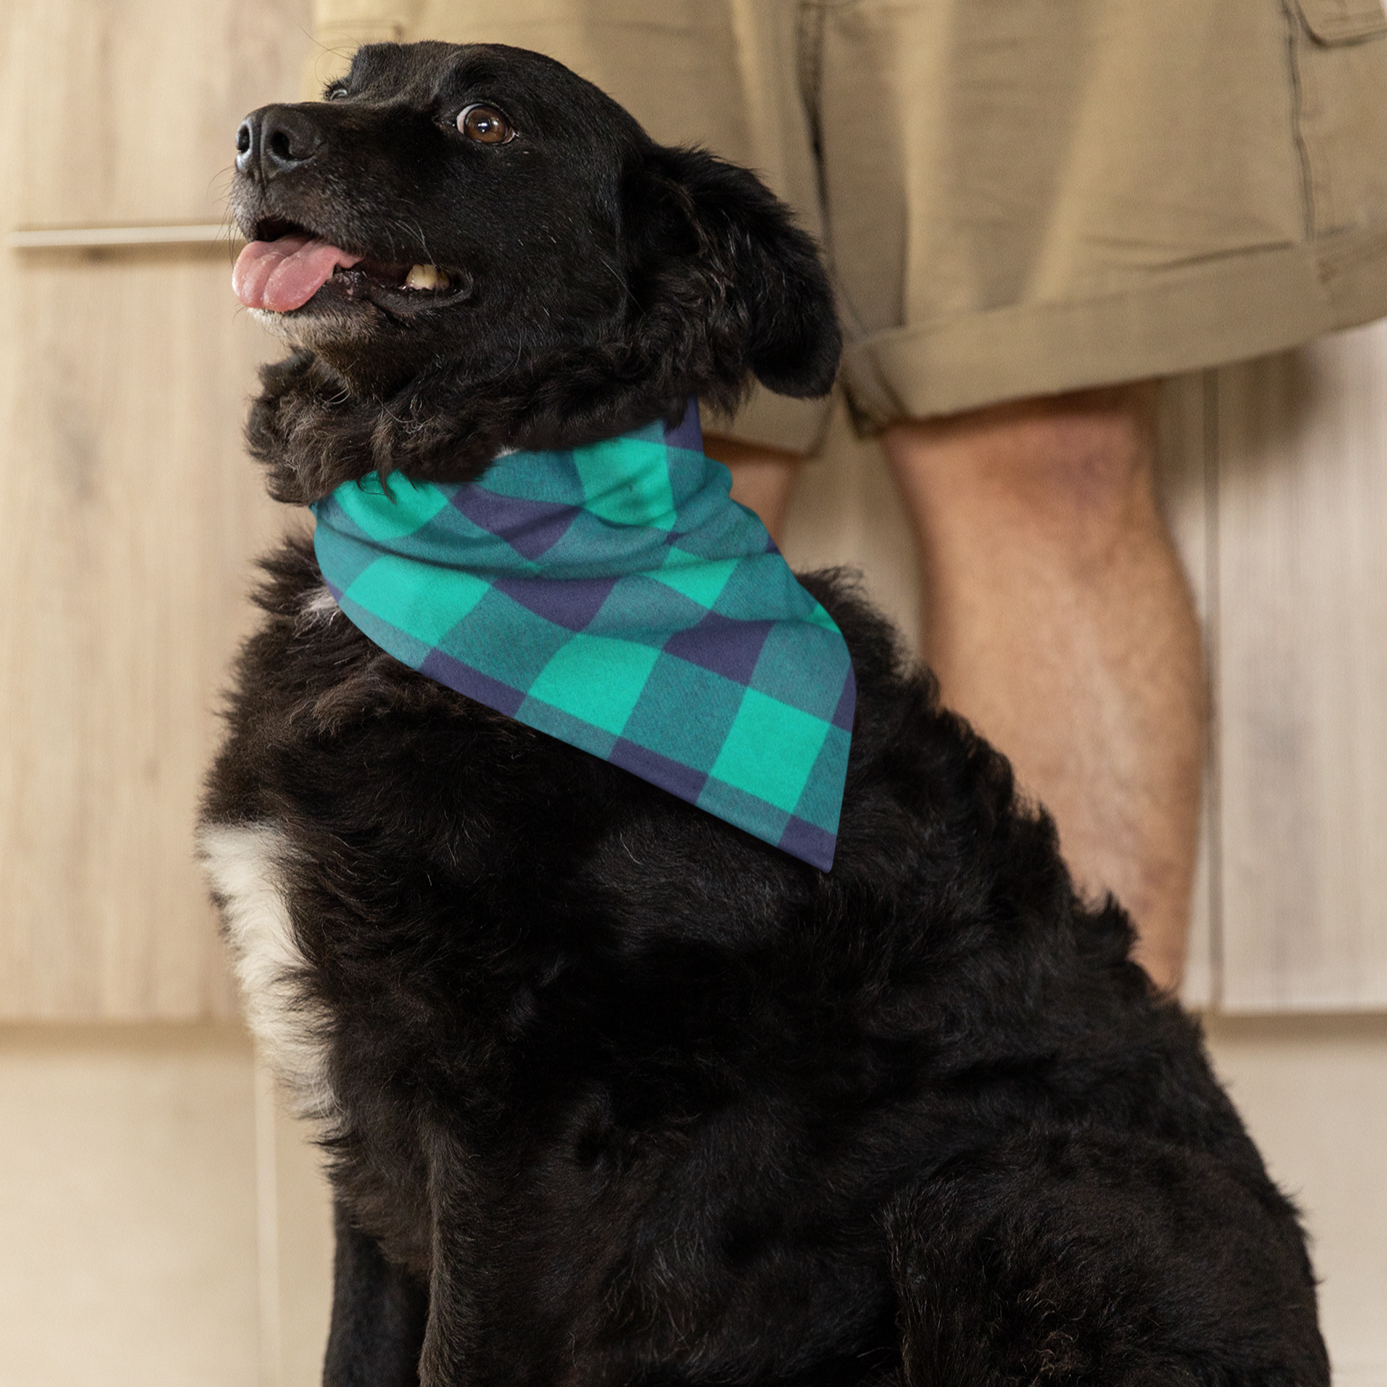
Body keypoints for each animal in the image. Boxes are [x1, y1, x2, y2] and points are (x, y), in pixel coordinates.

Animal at [201, 40, 1325, 1387]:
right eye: (348, 82)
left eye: (485, 122)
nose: (258, 134)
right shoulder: (370, 1113)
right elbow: (356, 1348)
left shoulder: (517, 1123)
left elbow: (457, 1351)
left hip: (1004, 1193)